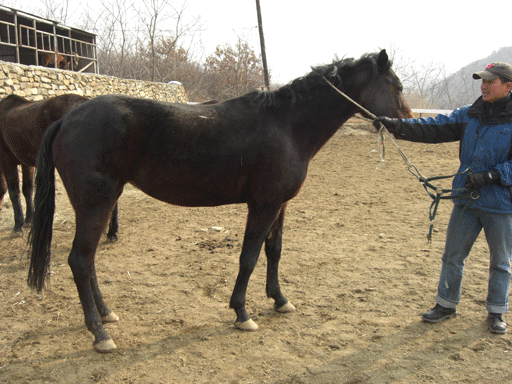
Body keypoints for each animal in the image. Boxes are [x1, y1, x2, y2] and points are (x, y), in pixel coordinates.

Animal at [0, 94, 119, 240]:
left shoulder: (7, 160)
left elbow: (13, 192)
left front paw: (18, 226)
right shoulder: (26, 163)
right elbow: (27, 189)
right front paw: (29, 219)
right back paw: (111, 232)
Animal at [27, 50, 412, 352]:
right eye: (396, 86)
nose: (408, 122)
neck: (286, 125)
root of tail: (66, 119)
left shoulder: (281, 205)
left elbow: (274, 251)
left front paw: (280, 300)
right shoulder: (263, 205)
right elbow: (249, 257)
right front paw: (242, 313)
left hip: (98, 204)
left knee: (88, 261)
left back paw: (106, 314)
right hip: (96, 203)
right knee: (80, 261)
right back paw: (100, 333)